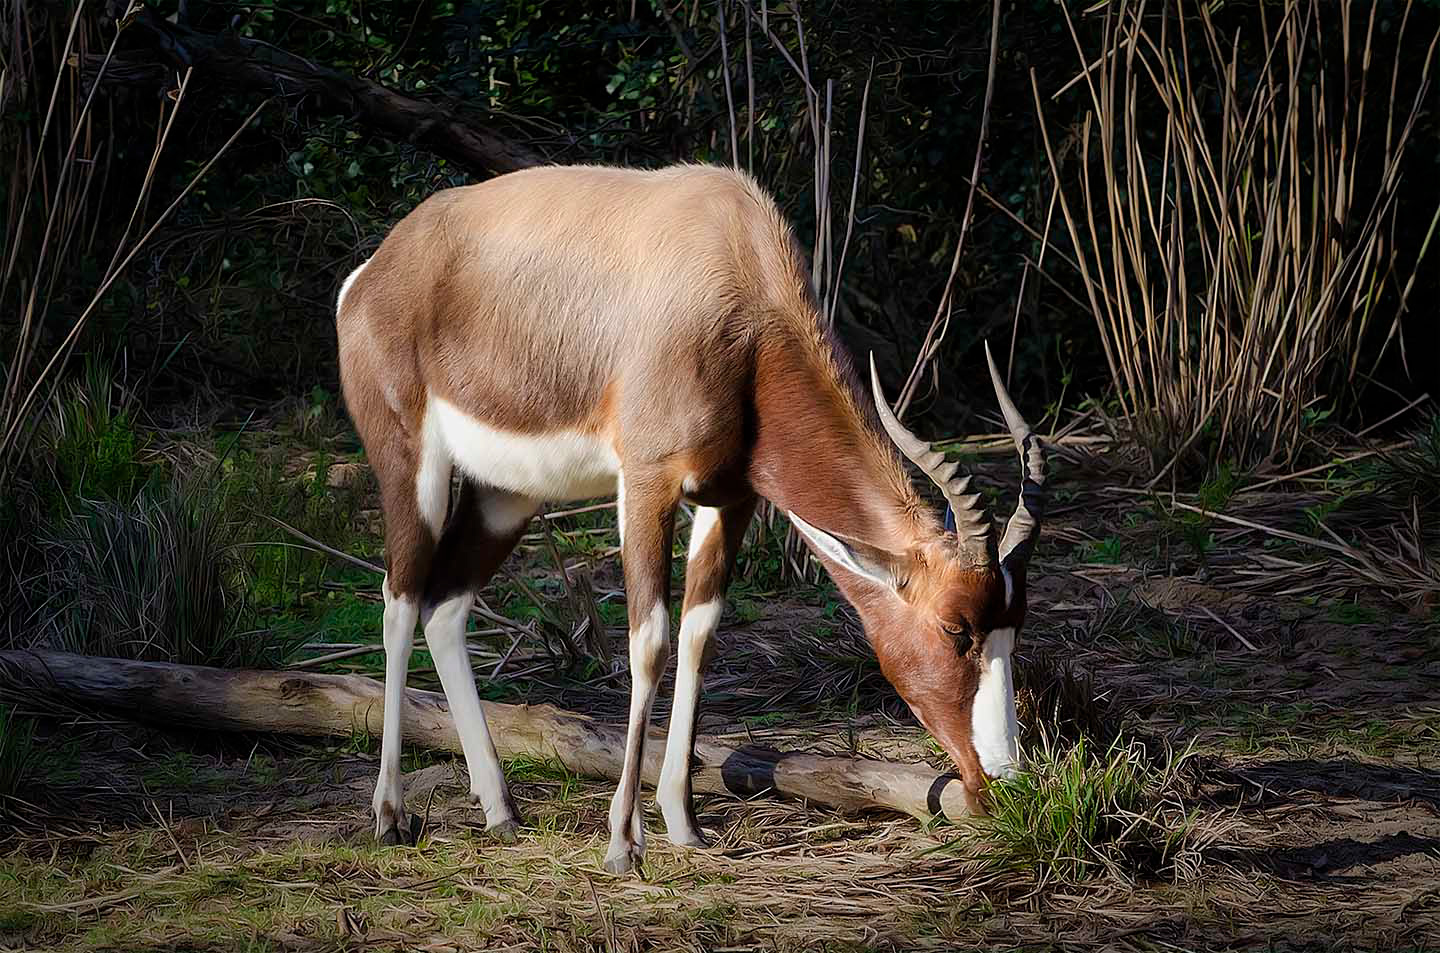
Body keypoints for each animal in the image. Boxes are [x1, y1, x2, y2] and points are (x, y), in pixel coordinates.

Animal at [335, 162, 1046, 875]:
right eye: (955, 629)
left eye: (1014, 626)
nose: (1002, 780)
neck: (734, 262)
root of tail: (371, 273)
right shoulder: (648, 481)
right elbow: (649, 640)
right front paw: (624, 842)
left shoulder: (729, 498)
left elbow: (701, 631)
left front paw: (682, 821)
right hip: (413, 466)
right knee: (400, 598)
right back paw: (389, 815)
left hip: (505, 493)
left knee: (444, 606)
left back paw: (502, 811)